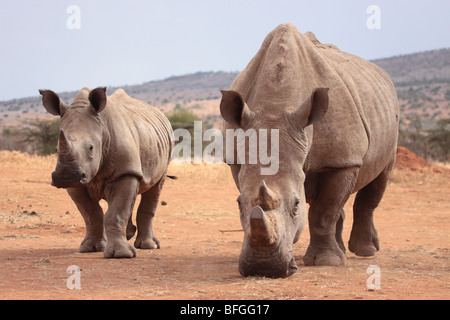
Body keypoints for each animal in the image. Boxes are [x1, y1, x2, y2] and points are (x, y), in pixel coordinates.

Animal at [39, 86, 173, 258]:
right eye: (56, 149)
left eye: (91, 148)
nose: (66, 176)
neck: (102, 129)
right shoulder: (77, 183)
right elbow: (91, 213)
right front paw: (90, 248)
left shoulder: (126, 171)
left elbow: (116, 213)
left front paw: (121, 254)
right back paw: (129, 234)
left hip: (166, 146)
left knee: (155, 188)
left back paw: (149, 245)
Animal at [220, 23, 400, 278]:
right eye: (237, 203)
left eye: (296, 205)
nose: (265, 268)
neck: (276, 109)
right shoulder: (237, 158)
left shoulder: (343, 160)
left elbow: (324, 212)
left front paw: (327, 262)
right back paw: (343, 251)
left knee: (378, 180)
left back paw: (365, 252)